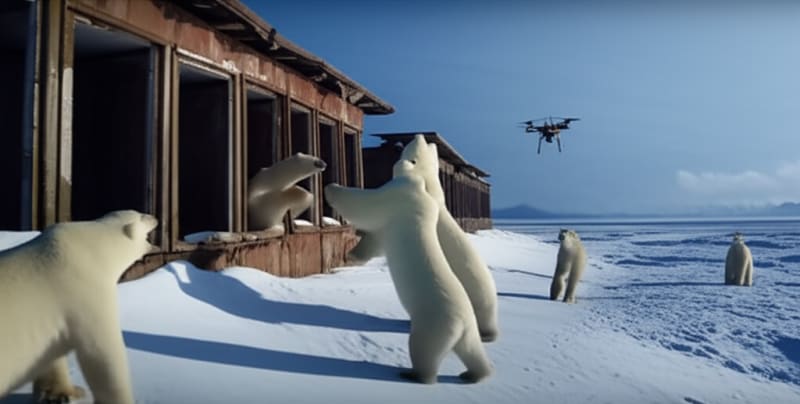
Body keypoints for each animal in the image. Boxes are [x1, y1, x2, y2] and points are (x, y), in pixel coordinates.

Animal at [0, 210, 158, 404]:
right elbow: (102, 353)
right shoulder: (84, 288)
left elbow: (50, 355)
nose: (155, 217)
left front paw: (63, 393)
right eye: (142, 215)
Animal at [324, 159, 493, 384]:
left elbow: (366, 204)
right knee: (472, 351)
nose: (404, 160)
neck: (421, 194)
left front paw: (330, 187)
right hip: (468, 332)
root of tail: (462, 323)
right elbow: (376, 241)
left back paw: (413, 374)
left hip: (433, 324)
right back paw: (473, 374)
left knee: (423, 350)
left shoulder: (398, 196)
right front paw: (352, 255)